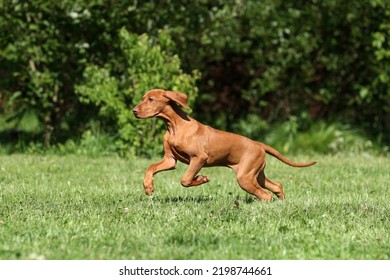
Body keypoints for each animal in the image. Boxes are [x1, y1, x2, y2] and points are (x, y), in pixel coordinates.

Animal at [133, 89, 316, 201]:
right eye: (143, 99)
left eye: (151, 99)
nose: (134, 111)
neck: (174, 126)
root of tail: (258, 144)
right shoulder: (170, 160)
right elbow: (150, 167)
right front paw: (148, 187)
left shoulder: (199, 158)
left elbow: (185, 180)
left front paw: (201, 179)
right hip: (255, 174)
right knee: (276, 186)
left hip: (245, 177)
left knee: (265, 195)